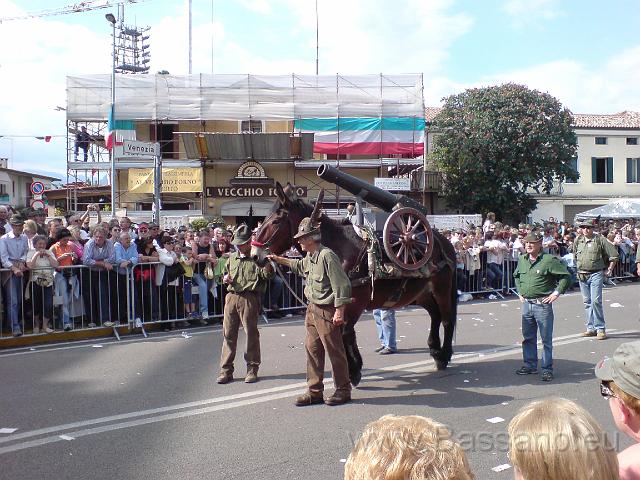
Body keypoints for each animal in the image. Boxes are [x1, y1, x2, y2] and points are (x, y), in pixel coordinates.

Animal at [252, 184, 458, 386]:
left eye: (276, 221)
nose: (255, 255)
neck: (339, 248)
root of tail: (442, 241)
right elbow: (342, 333)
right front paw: (352, 368)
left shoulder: (355, 301)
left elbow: (346, 332)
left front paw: (353, 370)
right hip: (422, 294)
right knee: (435, 316)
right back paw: (435, 350)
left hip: (442, 289)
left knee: (447, 319)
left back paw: (444, 355)